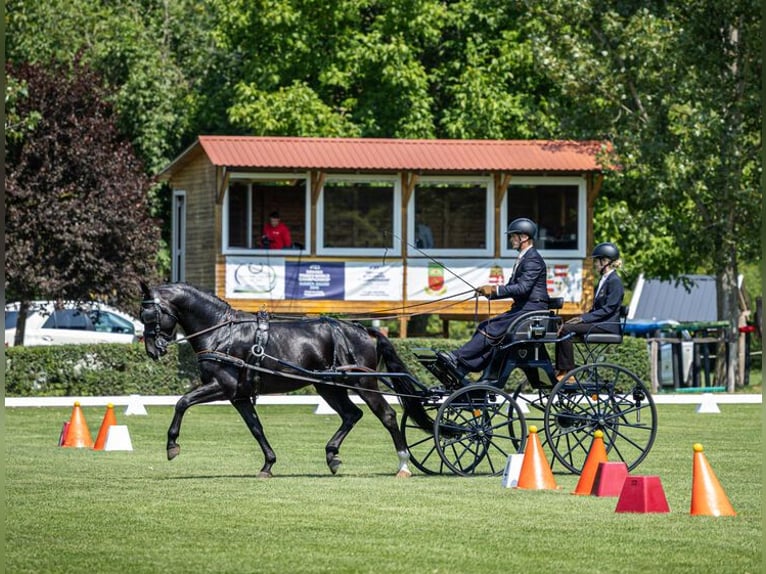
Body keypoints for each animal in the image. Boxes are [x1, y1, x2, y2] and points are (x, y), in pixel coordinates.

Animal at [139, 281, 432, 478]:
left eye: (150, 315)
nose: (153, 350)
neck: (222, 332)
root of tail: (362, 330)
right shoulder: (239, 395)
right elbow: (256, 428)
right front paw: (268, 464)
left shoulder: (223, 387)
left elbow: (182, 402)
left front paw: (172, 445)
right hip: (328, 386)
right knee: (352, 414)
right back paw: (332, 456)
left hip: (363, 384)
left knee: (387, 416)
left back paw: (403, 465)